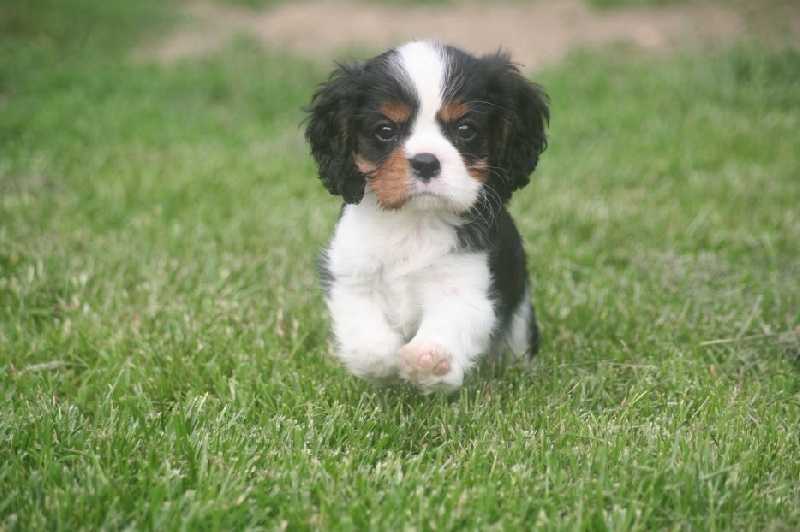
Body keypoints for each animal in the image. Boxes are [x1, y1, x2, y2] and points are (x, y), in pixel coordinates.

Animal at [304, 40, 548, 390]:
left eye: (465, 129)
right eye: (385, 130)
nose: (425, 162)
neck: (415, 220)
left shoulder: (465, 285)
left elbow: (450, 321)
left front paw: (430, 360)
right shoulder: (352, 278)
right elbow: (369, 344)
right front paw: (388, 367)